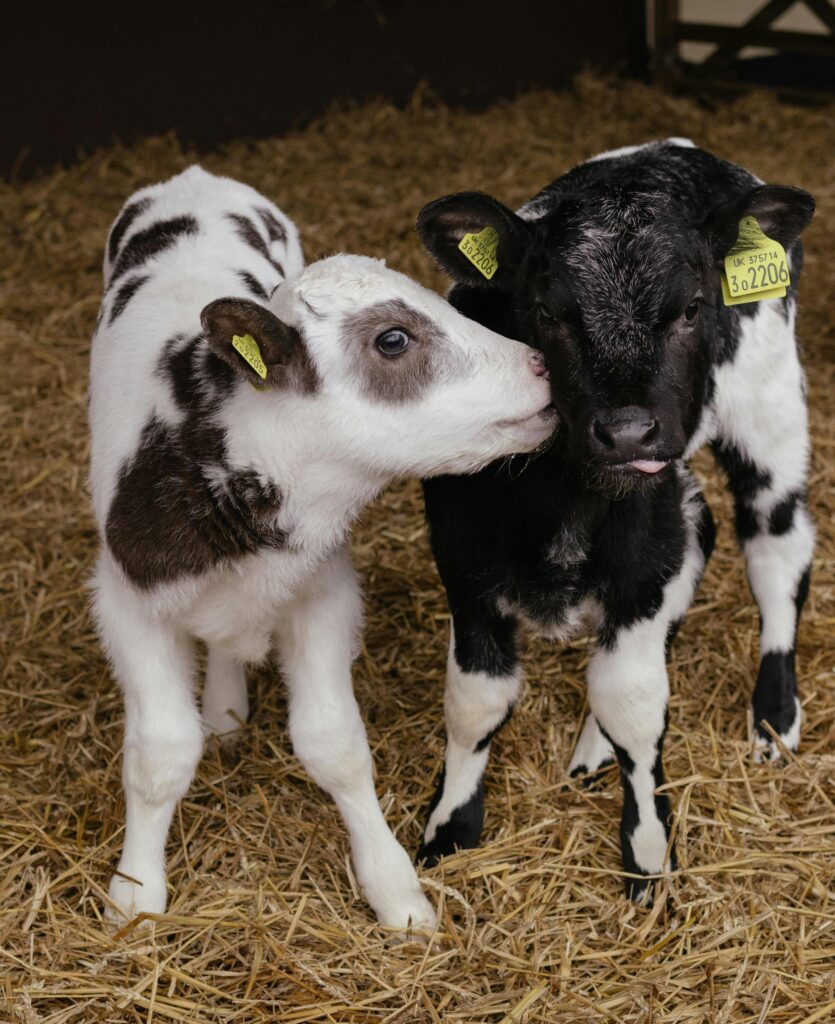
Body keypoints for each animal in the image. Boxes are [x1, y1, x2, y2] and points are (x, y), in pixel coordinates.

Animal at [89, 165, 553, 929]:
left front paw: (394, 889)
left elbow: (335, 745)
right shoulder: (129, 598)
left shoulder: (322, 585)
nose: (542, 365)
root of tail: (196, 175)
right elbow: (160, 755)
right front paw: (135, 894)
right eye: (392, 340)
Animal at [413, 140, 811, 901]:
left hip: (766, 411)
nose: (627, 432)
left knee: (777, 547)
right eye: (546, 311)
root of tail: (677, 148)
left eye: (692, 307)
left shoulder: (639, 553)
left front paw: (648, 848)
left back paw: (775, 715)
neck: (560, 502)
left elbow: (633, 702)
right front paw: (449, 822)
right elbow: (474, 702)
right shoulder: (463, 565)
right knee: (698, 544)